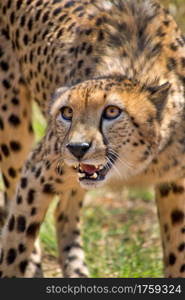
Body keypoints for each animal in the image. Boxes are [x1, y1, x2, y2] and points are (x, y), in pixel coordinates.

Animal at [0, 0, 185, 278]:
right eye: (67, 112)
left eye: (112, 112)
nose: (77, 148)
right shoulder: (36, 172)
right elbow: (17, 238)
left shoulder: (175, 182)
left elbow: (178, 253)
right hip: (11, 123)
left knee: (63, 210)